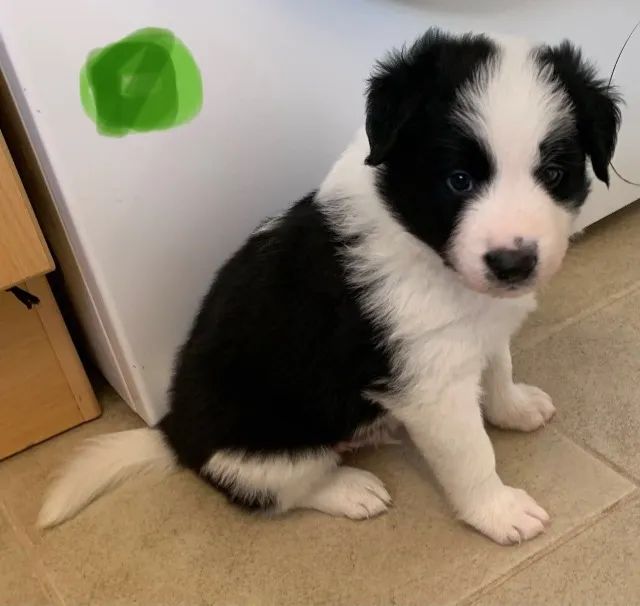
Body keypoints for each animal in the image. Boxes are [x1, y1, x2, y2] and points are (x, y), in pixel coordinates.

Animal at [40, 29, 620, 548]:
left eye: (554, 173)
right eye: (458, 180)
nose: (513, 263)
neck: (423, 250)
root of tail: (175, 433)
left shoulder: (479, 330)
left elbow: (498, 366)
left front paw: (513, 408)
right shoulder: (431, 385)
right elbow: (472, 454)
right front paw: (498, 512)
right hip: (273, 448)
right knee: (271, 488)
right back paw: (350, 489)